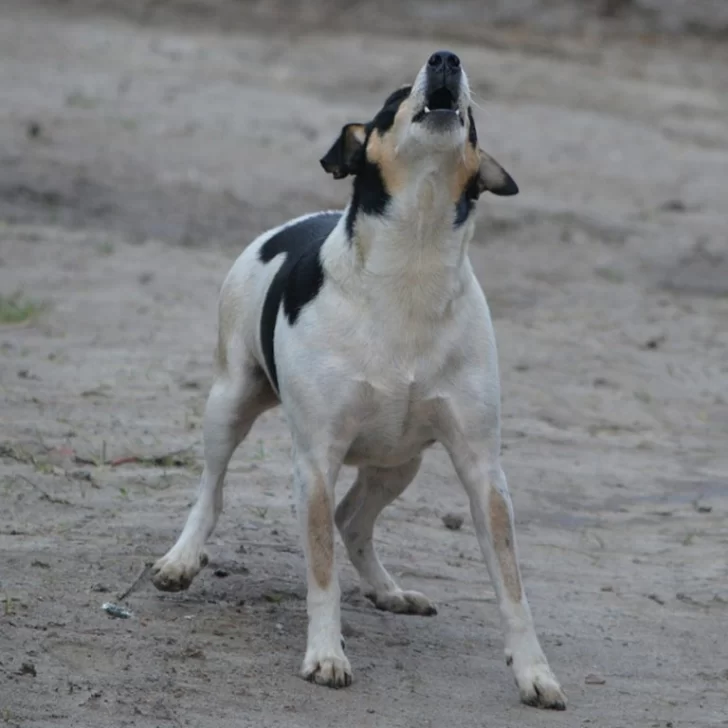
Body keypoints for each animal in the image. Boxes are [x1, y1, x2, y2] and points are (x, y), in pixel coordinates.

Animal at [151, 51, 564, 712]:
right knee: (211, 492)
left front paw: (533, 672)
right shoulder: (316, 461)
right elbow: (321, 571)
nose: (446, 58)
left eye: (473, 117)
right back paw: (182, 559)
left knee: (354, 519)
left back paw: (389, 589)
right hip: (229, 403)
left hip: (400, 462)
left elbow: (511, 584)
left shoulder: (482, 468)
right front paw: (325, 655)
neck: (413, 264)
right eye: (394, 98)